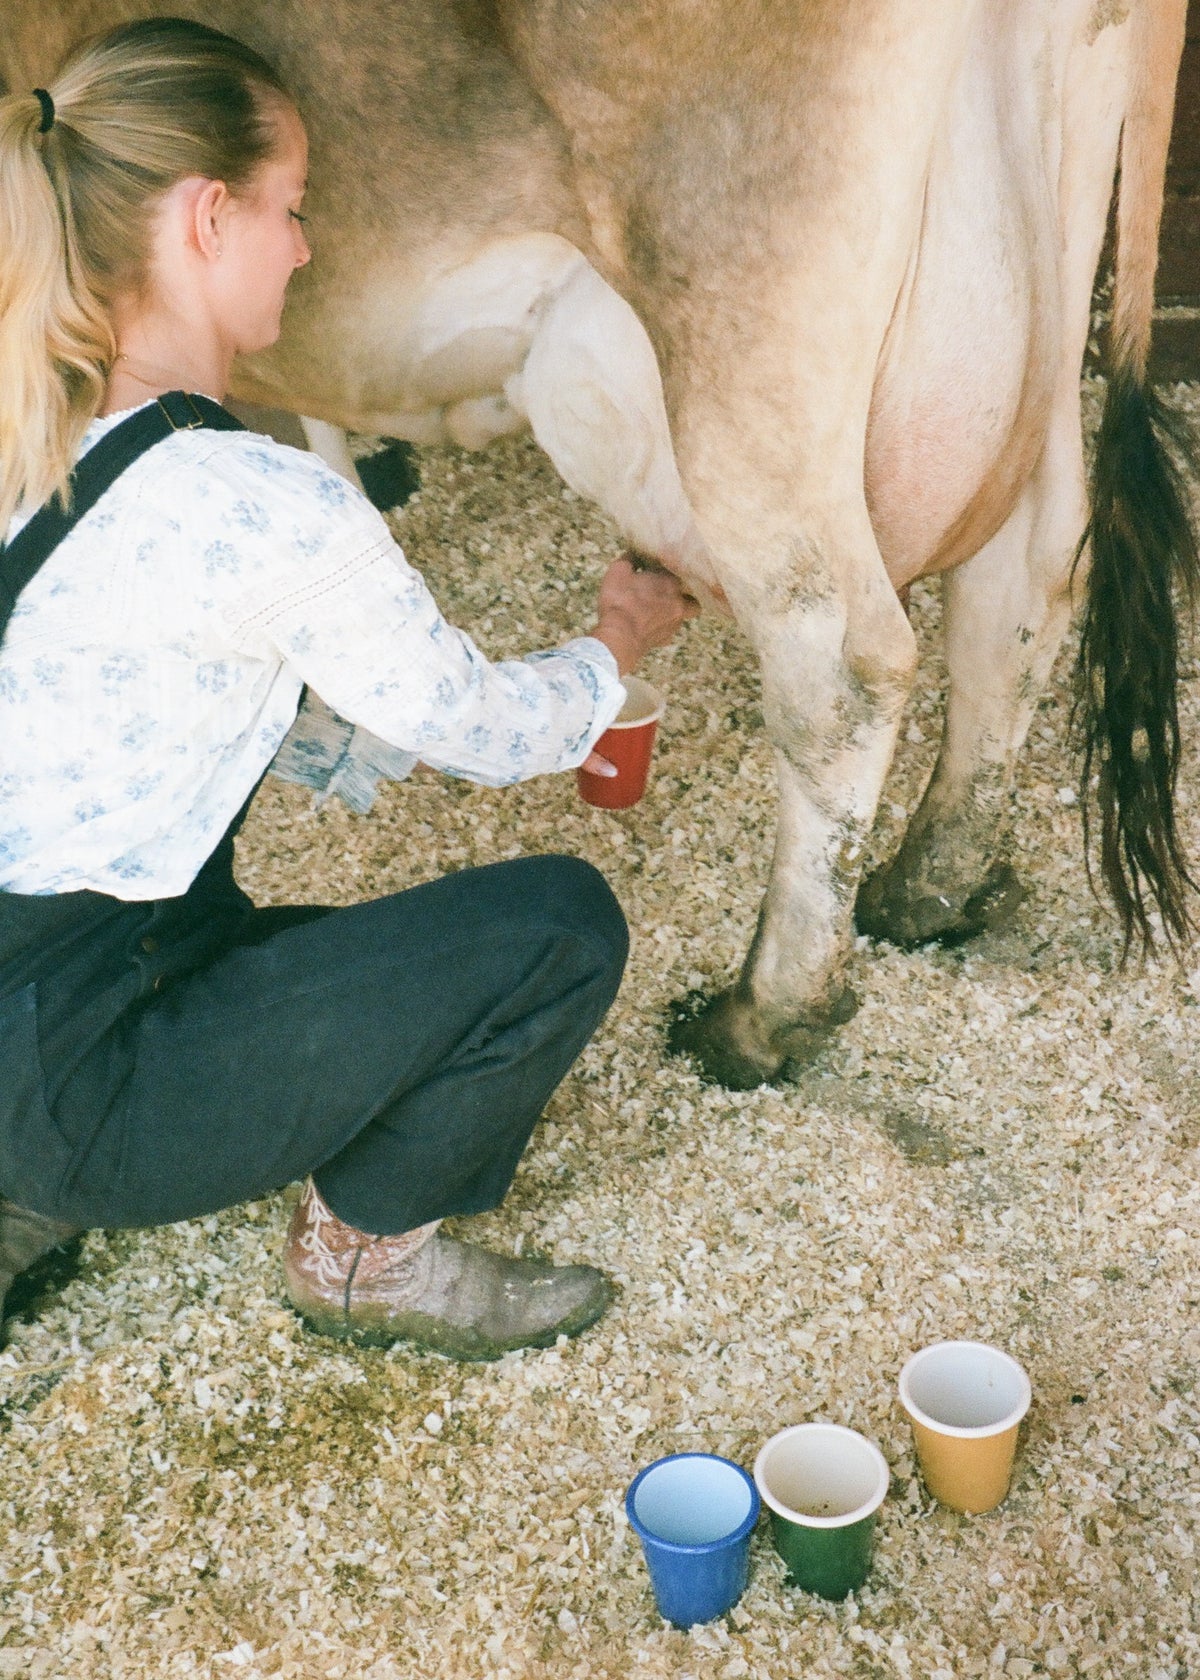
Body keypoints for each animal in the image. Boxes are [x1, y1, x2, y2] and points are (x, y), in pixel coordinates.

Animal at [4, 0, 1189, 1088]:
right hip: (1034, 271)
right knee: (1023, 583)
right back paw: (931, 882)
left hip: (745, 317)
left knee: (841, 665)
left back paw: (762, 1016)